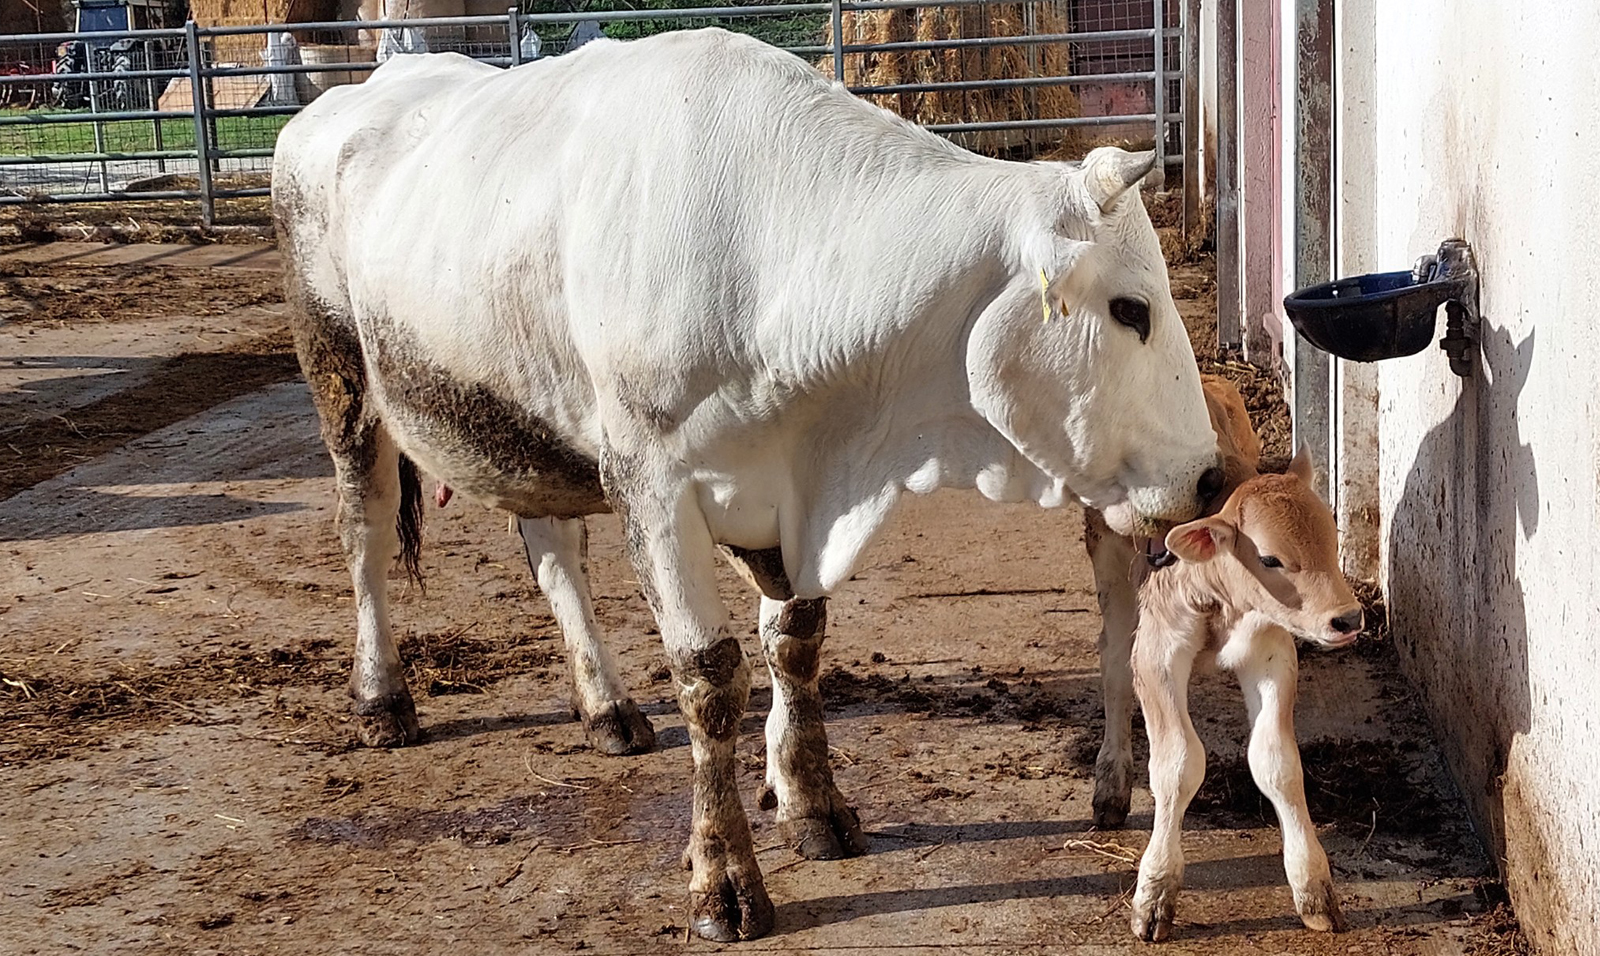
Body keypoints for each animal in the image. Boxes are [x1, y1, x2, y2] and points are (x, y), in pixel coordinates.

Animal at [275, 29, 1222, 946]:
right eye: (1130, 309)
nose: (1211, 476)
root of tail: (340, 103)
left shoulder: (790, 494)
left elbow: (794, 643)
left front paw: (812, 804)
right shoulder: (652, 484)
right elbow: (710, 677)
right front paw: (723, 879)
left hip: (531, 427)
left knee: (552, 551)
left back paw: (605, 706)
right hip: (342, 381)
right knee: (364, 538)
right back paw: (382, 697)